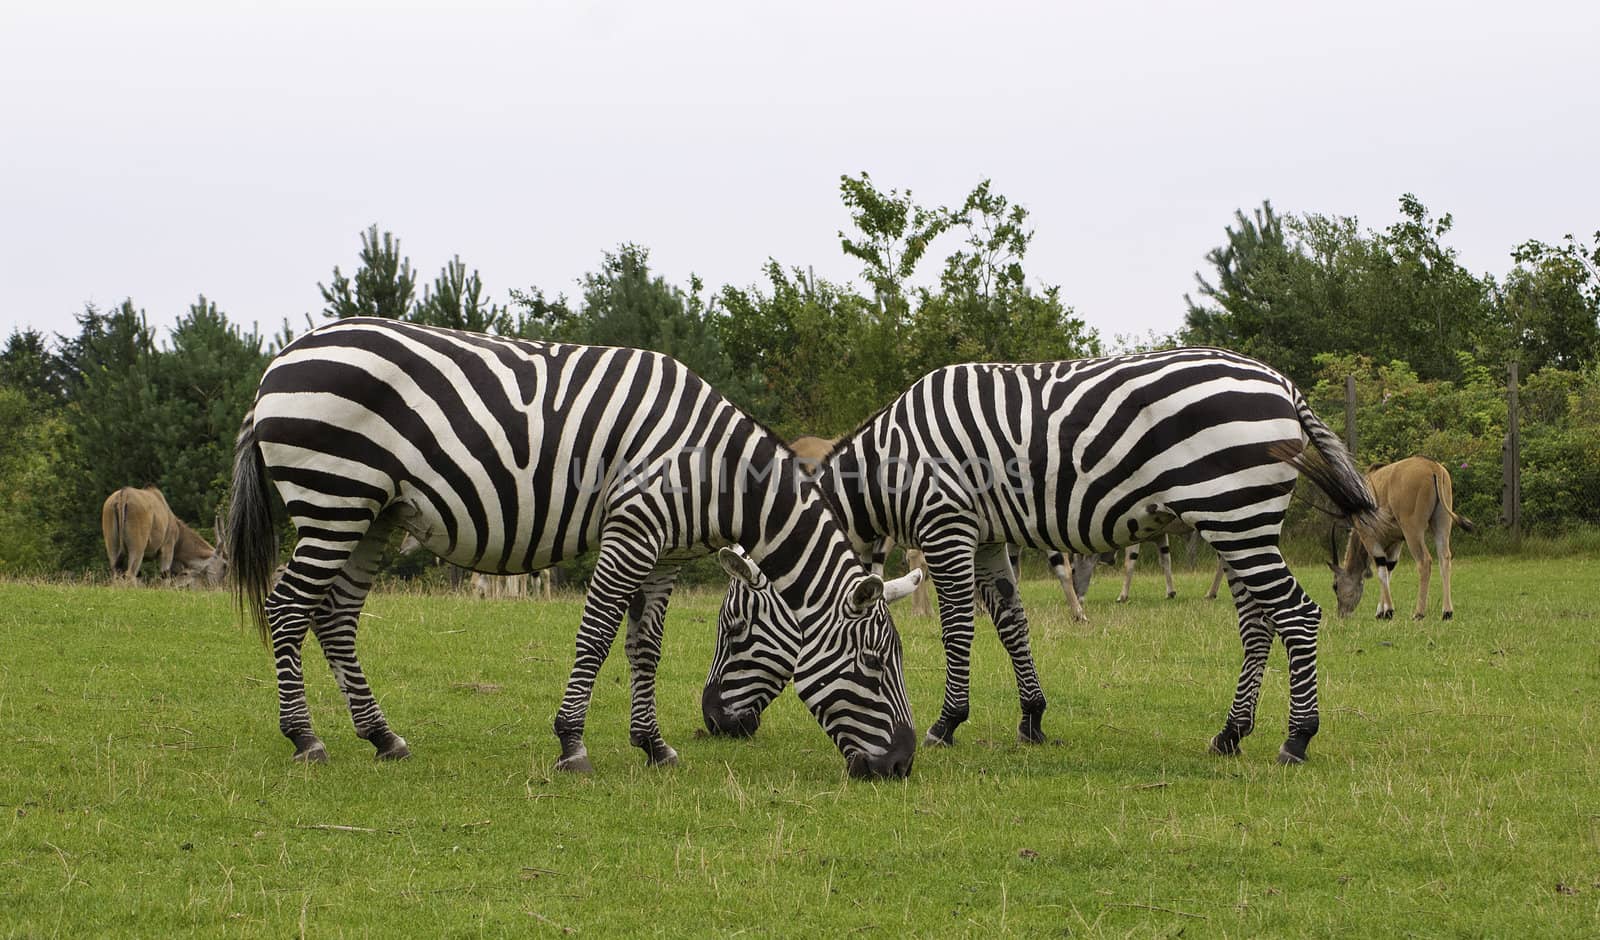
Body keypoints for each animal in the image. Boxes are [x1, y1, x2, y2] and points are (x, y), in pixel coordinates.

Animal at [232, 316, 921, 776]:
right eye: (873, 664)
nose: (901, 765)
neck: (710, 468)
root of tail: (281, 357)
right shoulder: (631, 530)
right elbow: (596, 635)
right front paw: (572, 745)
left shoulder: (664, 555)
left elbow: (646, 648)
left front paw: (654, 746)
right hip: (334, 499)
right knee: (288, 608)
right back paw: (305, 739)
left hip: (373, 514)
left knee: (336, 617)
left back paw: (382, 737)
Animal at [704, 345, 1388, 764]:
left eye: (734, 628)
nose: (712, 723)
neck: (891, 467)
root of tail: (1283, 384)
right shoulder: (986, 536)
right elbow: (1011, 622)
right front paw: (1032, 718)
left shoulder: (946, 525)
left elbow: (959, 628)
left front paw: (947, 723)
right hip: (1236, 520)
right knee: (1258, 623)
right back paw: (1230, 733)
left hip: (1234, 513)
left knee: (1296, 615)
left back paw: (1297, 739)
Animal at [1331, 457, 1465, 620]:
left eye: (1335, 586)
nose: (1341, 613)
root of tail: (1432, 466)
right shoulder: (1396, 542)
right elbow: (1388, 570)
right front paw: (1381, 612)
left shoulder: (1370, 538)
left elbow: (1382, 571)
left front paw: (1387, 611)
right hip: (1442, 525)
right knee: (1444, 558)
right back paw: (1447, 612)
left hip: (1412, 531)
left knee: (1424, 561)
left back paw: (1419, 613)